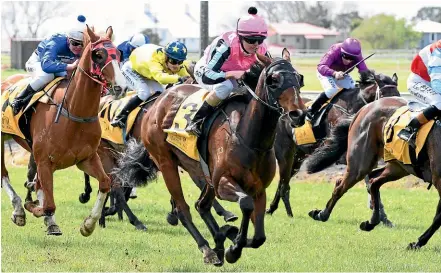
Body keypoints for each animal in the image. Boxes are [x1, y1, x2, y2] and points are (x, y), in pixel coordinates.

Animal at [0, 24, 126, 235]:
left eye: (118, 53)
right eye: (98, 55)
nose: (121, 87)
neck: (73, 113)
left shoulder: (87, 159)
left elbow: (105, 183)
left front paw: (88, 224)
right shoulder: (45, 161)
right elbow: (48, 204)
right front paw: (31, 207)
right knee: (4, 174)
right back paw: (18, 210)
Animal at [114, 51, 306, 264]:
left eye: (299, 78)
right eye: (274, 80)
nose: (298, 114)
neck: (250, 138)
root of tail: (158, 102)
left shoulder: (258, 189)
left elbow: (259, 237)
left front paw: (231, 236)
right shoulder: (223, 182)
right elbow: (245, 204)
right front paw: (234, 247)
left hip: (200, 171)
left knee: (202, 205)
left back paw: (219, 239)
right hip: (166, 162)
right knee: (183, 208)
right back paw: (207, 249)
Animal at [266, 68, 400, 223]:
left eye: (398, 94)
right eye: (383, 94)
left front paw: (383, 216)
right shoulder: (347, 155)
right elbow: (366, 178)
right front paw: (381, 215)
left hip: (298, 156)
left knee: (284, 180)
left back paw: (272, 208)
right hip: (284, 150)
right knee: (283, 179)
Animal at [304, 96, 440, 249]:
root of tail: (365, 107)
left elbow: (438, 217)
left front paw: (418, 242)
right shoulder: (439, 180)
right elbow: (439, 217)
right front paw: (417, 243)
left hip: (399, 166)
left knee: (374, 181)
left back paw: (372, 221)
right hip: (361, 163)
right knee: (341, 185)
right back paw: (322, 214)